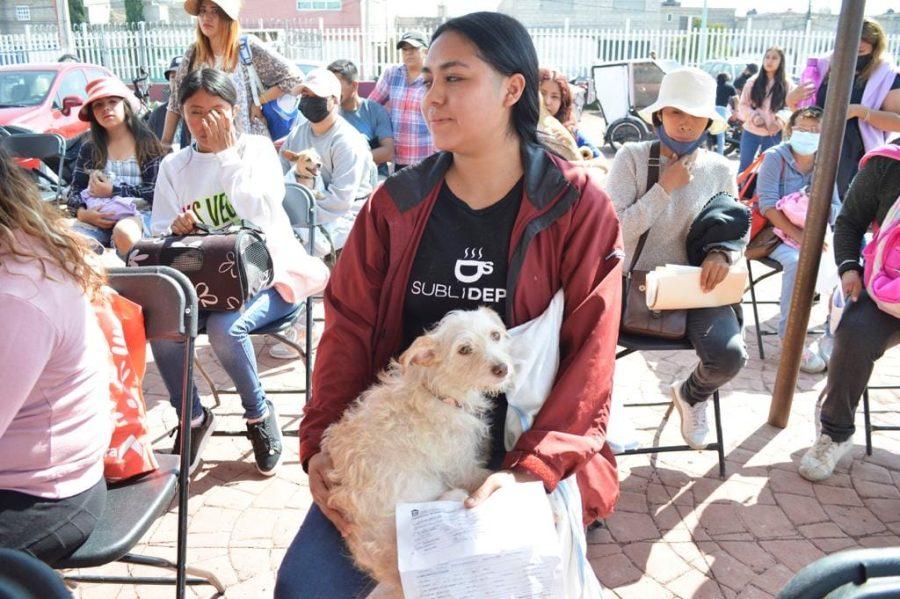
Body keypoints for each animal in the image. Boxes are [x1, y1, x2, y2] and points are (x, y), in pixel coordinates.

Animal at [320, 308, 512, 596]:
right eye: (464, 349)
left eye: (495, 335)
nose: (502, 369)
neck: (437, 392)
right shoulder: (461, 468)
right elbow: (483, 475)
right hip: (448, 498)